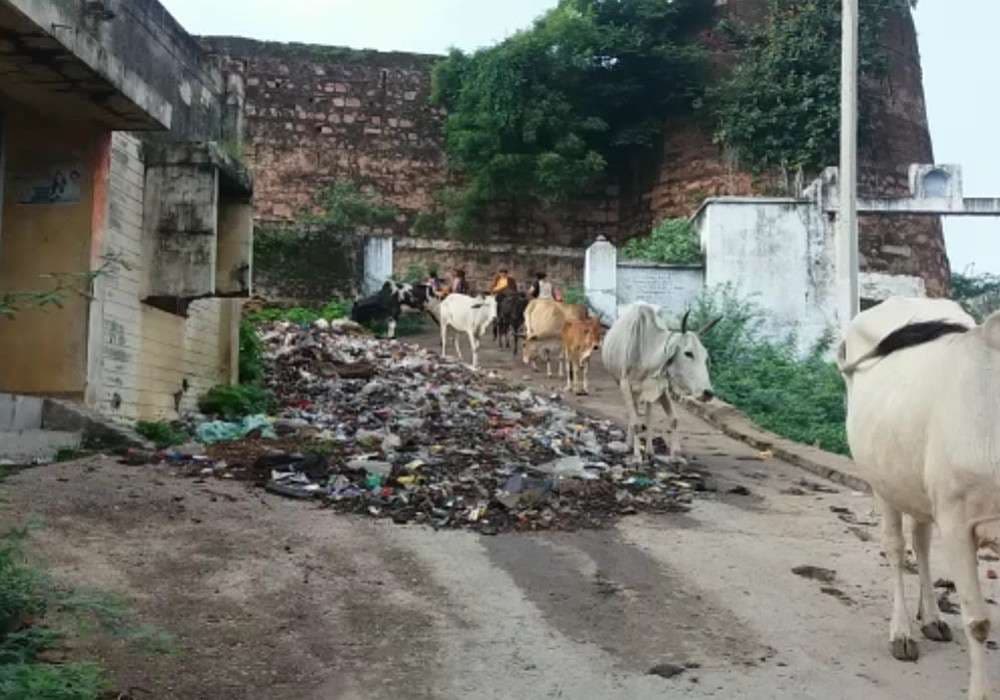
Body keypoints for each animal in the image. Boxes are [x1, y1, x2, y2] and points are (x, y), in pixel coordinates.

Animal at [600, 304, 720, 462]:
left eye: (706, 357)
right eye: (688, 353)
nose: (708, 393)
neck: (647, 351)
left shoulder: (661, 388)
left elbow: (673, 419)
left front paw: (675, 455)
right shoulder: (624, 383)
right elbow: (636, 422)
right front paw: (637, 456)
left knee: (648, 415)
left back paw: (649, 450)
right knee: (634, 413)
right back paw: (630, 445)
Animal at [836, 298, 1000, 696]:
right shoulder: (957, 521)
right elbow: (978, 621)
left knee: (921, 545)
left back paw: (931, 617)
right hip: (882, 481)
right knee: (896, 550)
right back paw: (903, 633)